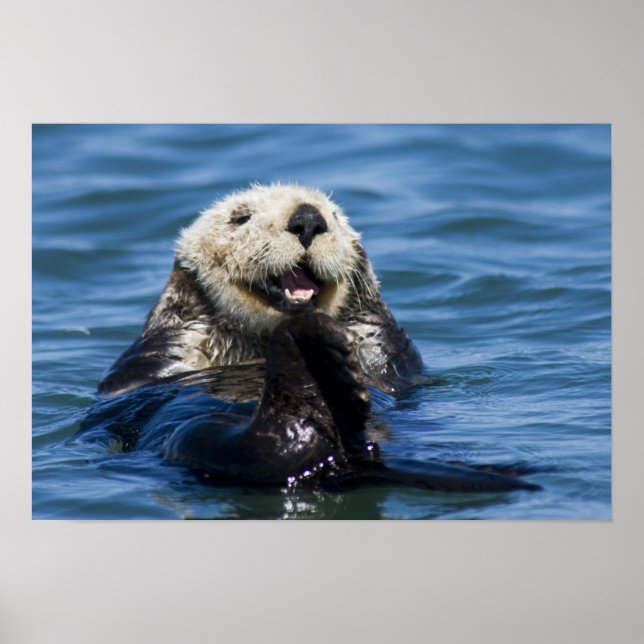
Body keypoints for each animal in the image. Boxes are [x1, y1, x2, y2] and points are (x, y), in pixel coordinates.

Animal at [87, 184, 539, 493]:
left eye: (333, 214)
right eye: (240, 217)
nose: (307, 219)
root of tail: (347, 460)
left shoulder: (385, 348)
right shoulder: (173, 345)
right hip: (195, 438)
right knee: (262, 449)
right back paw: (311, 361)